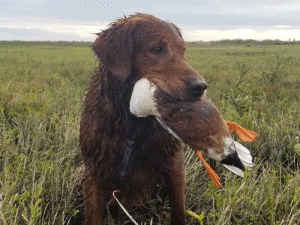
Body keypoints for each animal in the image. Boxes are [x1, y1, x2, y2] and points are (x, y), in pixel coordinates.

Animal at [80, 13, 209, 224]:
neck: (133, 119)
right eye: (157, 48)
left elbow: (179, 209)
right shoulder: (93, 171)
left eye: (183, 51)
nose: (200, 87)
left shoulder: (173, 162)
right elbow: (92, 215)